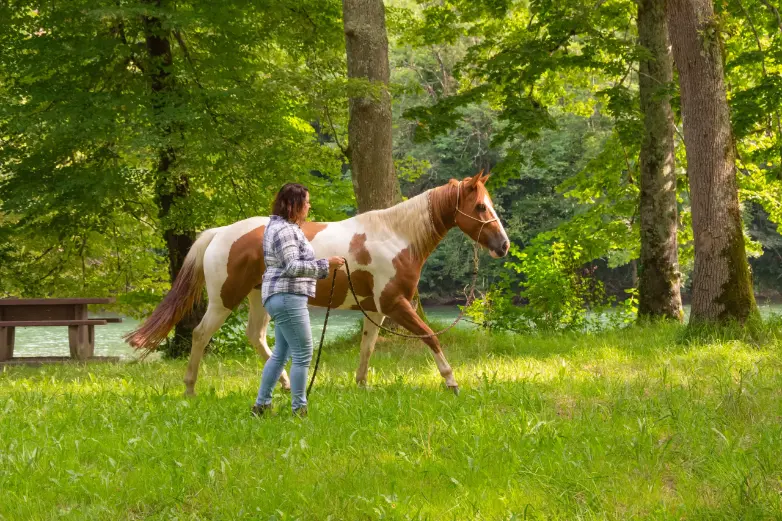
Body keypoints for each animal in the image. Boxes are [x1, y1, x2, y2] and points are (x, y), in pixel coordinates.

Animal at [125, 172, 512, 394]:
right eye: (480, 207)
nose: (504, 245)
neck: (396, 236)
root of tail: (220, 232)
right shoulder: (396, 304)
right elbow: (430, 336)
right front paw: (451, 381)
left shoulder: (377, 310)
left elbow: (367, 348)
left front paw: (361, 386)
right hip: (224, 300)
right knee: (200, 334)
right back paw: (190, 388)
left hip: (257, 299)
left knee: (255, 336)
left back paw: (282, 383)